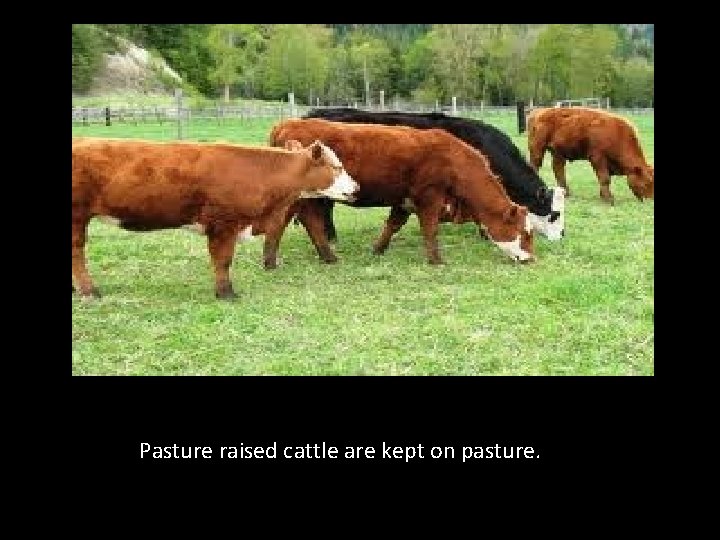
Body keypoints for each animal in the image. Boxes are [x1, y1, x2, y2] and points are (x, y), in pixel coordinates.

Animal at [71, 137, 358, 299]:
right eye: (336, 167)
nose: (355, 188)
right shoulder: (224, 224)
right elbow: (222, 260)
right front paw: (225, 292)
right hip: (77, 217)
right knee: (77, 253)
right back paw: (89, 291)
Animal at [269, 118, 535, 267]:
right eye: (524, 234)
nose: (532, 259)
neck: (453, 161)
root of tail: (288, 123)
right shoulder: (429, 197)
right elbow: (430, 229)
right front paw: (436, 260)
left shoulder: (404, 200)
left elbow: (392, 225)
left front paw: (378, 249)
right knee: (308, 222)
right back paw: (323, 256)